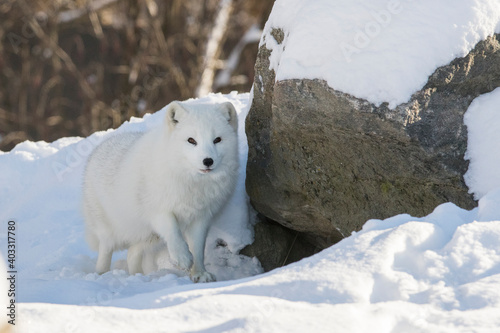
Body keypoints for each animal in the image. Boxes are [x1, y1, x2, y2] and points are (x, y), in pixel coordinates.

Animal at [82, 100, 238, 282]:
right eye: (191, 140)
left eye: (217, 140)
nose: (208, 161)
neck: (191, 182)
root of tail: (97, 149)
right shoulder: (159, 212)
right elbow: (173, 232)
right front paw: (182, 258)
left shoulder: (201, 218)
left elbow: (198, 248)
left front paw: (199, 273)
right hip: (110, 230)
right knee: (106, 250)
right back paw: (101, 275)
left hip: (150, 236)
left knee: (132, 253)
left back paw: (137, 276)